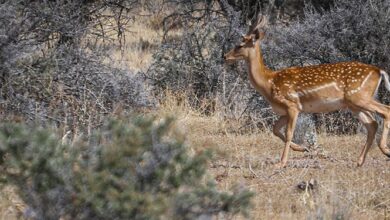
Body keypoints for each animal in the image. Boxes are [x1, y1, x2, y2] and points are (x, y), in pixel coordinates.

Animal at [224, 15, 390, 168]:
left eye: (239, 45)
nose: (225, 56)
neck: (269, 82)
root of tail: (379, 71)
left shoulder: (292, 105)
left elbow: (288, 133)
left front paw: (282, 162)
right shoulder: (284, 111)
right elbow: (275, 129)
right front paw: (302, 148)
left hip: (359, 96)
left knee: (385, 111)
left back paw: (384, 149)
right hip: (353, 104)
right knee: (372, 123)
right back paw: (360, 161)